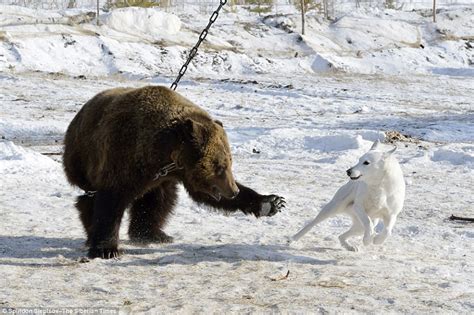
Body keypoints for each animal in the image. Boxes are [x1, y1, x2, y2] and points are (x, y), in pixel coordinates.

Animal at [63, 86, 286, 260]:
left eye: (230, 163)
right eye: (220, 166)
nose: (233, 191)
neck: (164, 154)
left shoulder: (180, 173)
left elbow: (201, 194)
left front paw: (271, 202)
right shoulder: (123, 155)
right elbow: (112, 199)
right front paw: (107, 249)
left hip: (157, 182)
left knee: (158, 200)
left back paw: (153, 234)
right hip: (82, 160)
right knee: (91, 197)